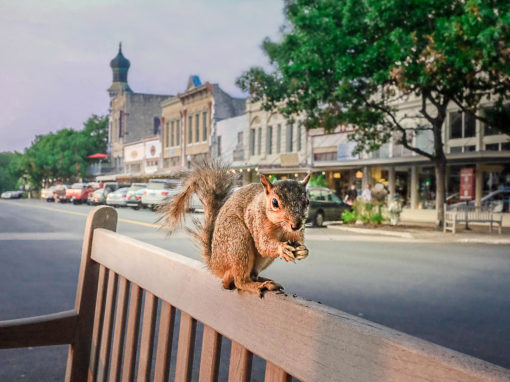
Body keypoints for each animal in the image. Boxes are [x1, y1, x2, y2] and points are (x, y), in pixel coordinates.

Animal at [160, 161, 310, 296]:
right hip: (238, 239)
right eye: (274, 202)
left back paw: (263, 280)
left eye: (307, 201)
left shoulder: (296, 234)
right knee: (239, 281)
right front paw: (282, 248)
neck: (280, 226)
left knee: (250, 275)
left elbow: (298, 241)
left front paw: (303, 251)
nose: (296, 225)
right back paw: (257, 285)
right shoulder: (256, 219)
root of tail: (215, 265)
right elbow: (263, 244)